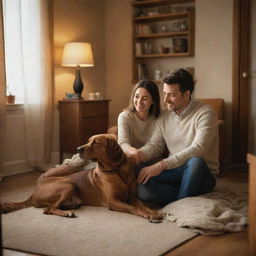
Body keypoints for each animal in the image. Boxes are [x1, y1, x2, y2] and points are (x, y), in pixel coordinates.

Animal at [1, 134, 162, 222]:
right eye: (88, 140)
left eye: (95, 142)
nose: (78, 149)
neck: (116, 170)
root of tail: (33, 193)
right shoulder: (113, 201)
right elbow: (134, 208)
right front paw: (148, 215)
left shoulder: (133, 197)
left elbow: (142, 205)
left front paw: (152, 212)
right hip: (68, 183)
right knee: (49, 210)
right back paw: (66, 213)